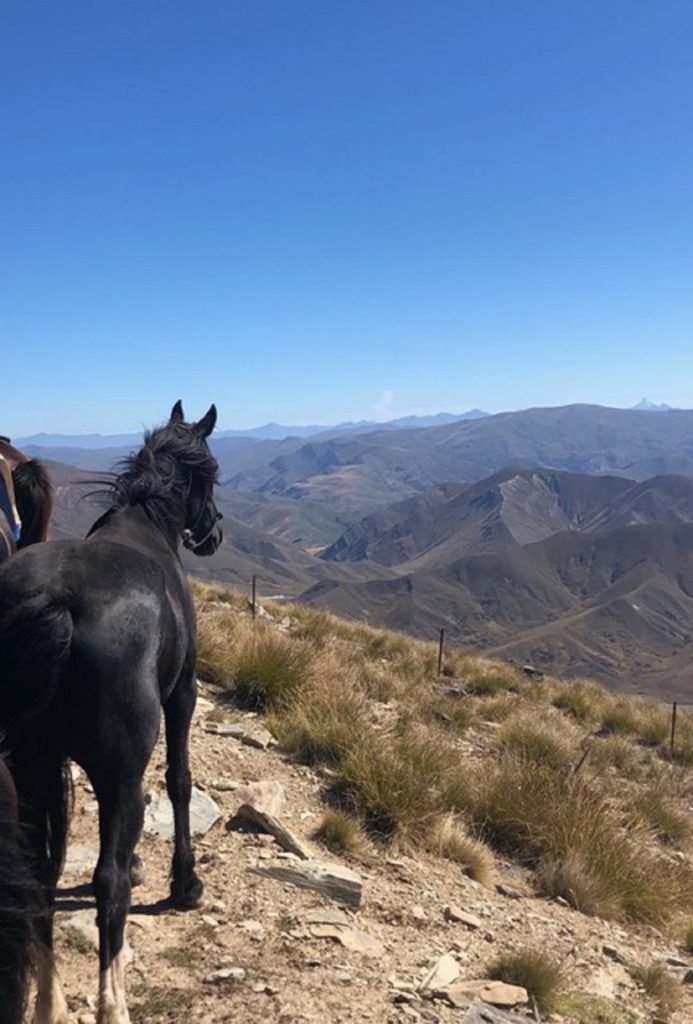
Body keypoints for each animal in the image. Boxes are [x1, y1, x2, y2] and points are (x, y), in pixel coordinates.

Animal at [0, 403, 222, 1019]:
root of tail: (56, 601)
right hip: (116, 769)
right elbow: (178, 779)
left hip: (30, 766)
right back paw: (111, 1003)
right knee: (108, 883)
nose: (216, 531)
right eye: (214, 472)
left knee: (39, 876)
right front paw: (184, 883)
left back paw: (50, 1002)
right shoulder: (183, 692)